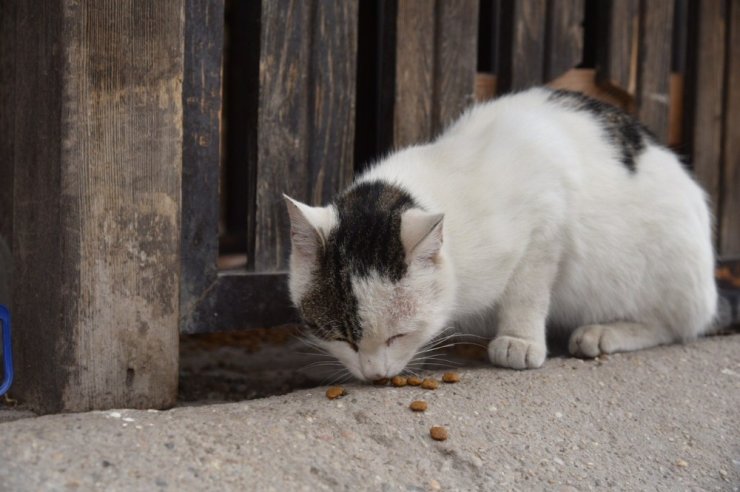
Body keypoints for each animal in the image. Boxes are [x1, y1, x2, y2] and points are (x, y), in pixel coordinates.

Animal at [284, 87, 716, 380]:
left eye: (398, 335)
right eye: (342, 338)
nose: (375, 375)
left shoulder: (547, 217)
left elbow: (527, 289)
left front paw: (519, 340)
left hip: (665, 267)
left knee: (675, 326)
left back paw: (605, 332)